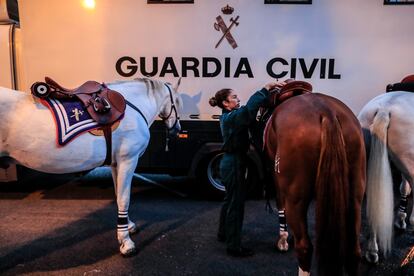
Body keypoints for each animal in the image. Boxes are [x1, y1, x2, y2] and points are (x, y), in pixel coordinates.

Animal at [0, 78, 181, 256]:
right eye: (178, 101)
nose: (177, 129)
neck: (134, 106)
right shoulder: (128, 160)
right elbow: (124, 199)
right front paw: (126, 242)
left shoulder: (115, 163)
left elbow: (118, 195)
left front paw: (127, 225)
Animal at [264, 85, 368, 274]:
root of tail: (327, 113)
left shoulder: (278, 179)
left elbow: (280, 203)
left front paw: (282, 240)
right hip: (355, 193)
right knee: (354, 250)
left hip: (296, 198)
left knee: (304, 247)